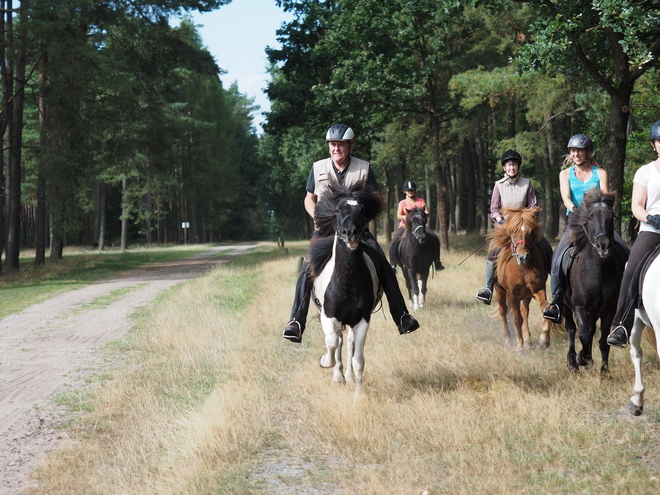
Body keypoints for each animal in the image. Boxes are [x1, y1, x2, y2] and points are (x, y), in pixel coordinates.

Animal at [310, 182, 386, 396]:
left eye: (362, 211)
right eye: (337, 210)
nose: (349, 233)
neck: (347, 281)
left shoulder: (362, 320)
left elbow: (358, 359)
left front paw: (358, 395)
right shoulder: (328, 316)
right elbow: (333, 342)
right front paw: (326, 363)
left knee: (350, 343)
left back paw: (349, 377)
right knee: (338, 341)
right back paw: (338, 375)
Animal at [490, 207, 552, 350]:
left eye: (531, 231)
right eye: (513, 231)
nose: (522, 257)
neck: (523, 268)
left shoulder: (538, 289)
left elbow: (545, 308)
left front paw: (544, 340)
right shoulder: (512, 295)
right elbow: (517, 318)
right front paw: (519, 346)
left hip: (526, 295)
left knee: (525, 312)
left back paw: (528, 341)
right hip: (499, 291)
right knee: (503, 312)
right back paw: (508, 341)